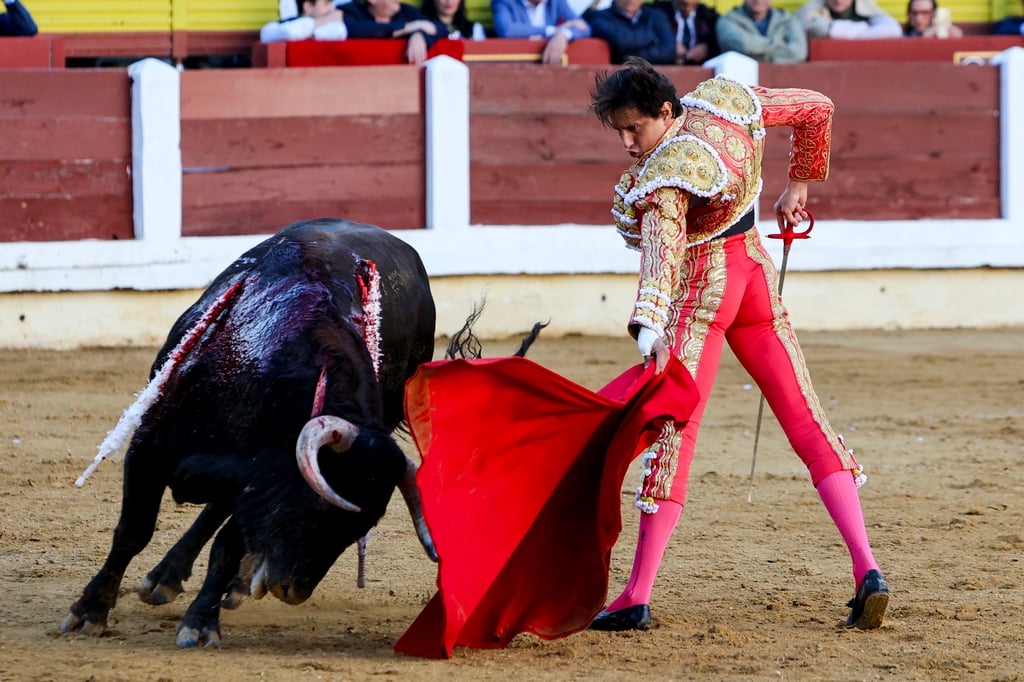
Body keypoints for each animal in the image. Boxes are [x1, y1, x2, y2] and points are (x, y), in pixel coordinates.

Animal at [59, 216, 436, 643]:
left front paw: (201, 621)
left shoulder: (260, 483)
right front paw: (89, 611)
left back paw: (210, 580)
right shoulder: (150, 448)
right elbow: (133, 530)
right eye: (320, 507)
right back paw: (167, 579)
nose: (292, 590)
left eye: (364, 525)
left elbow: (226, 547)